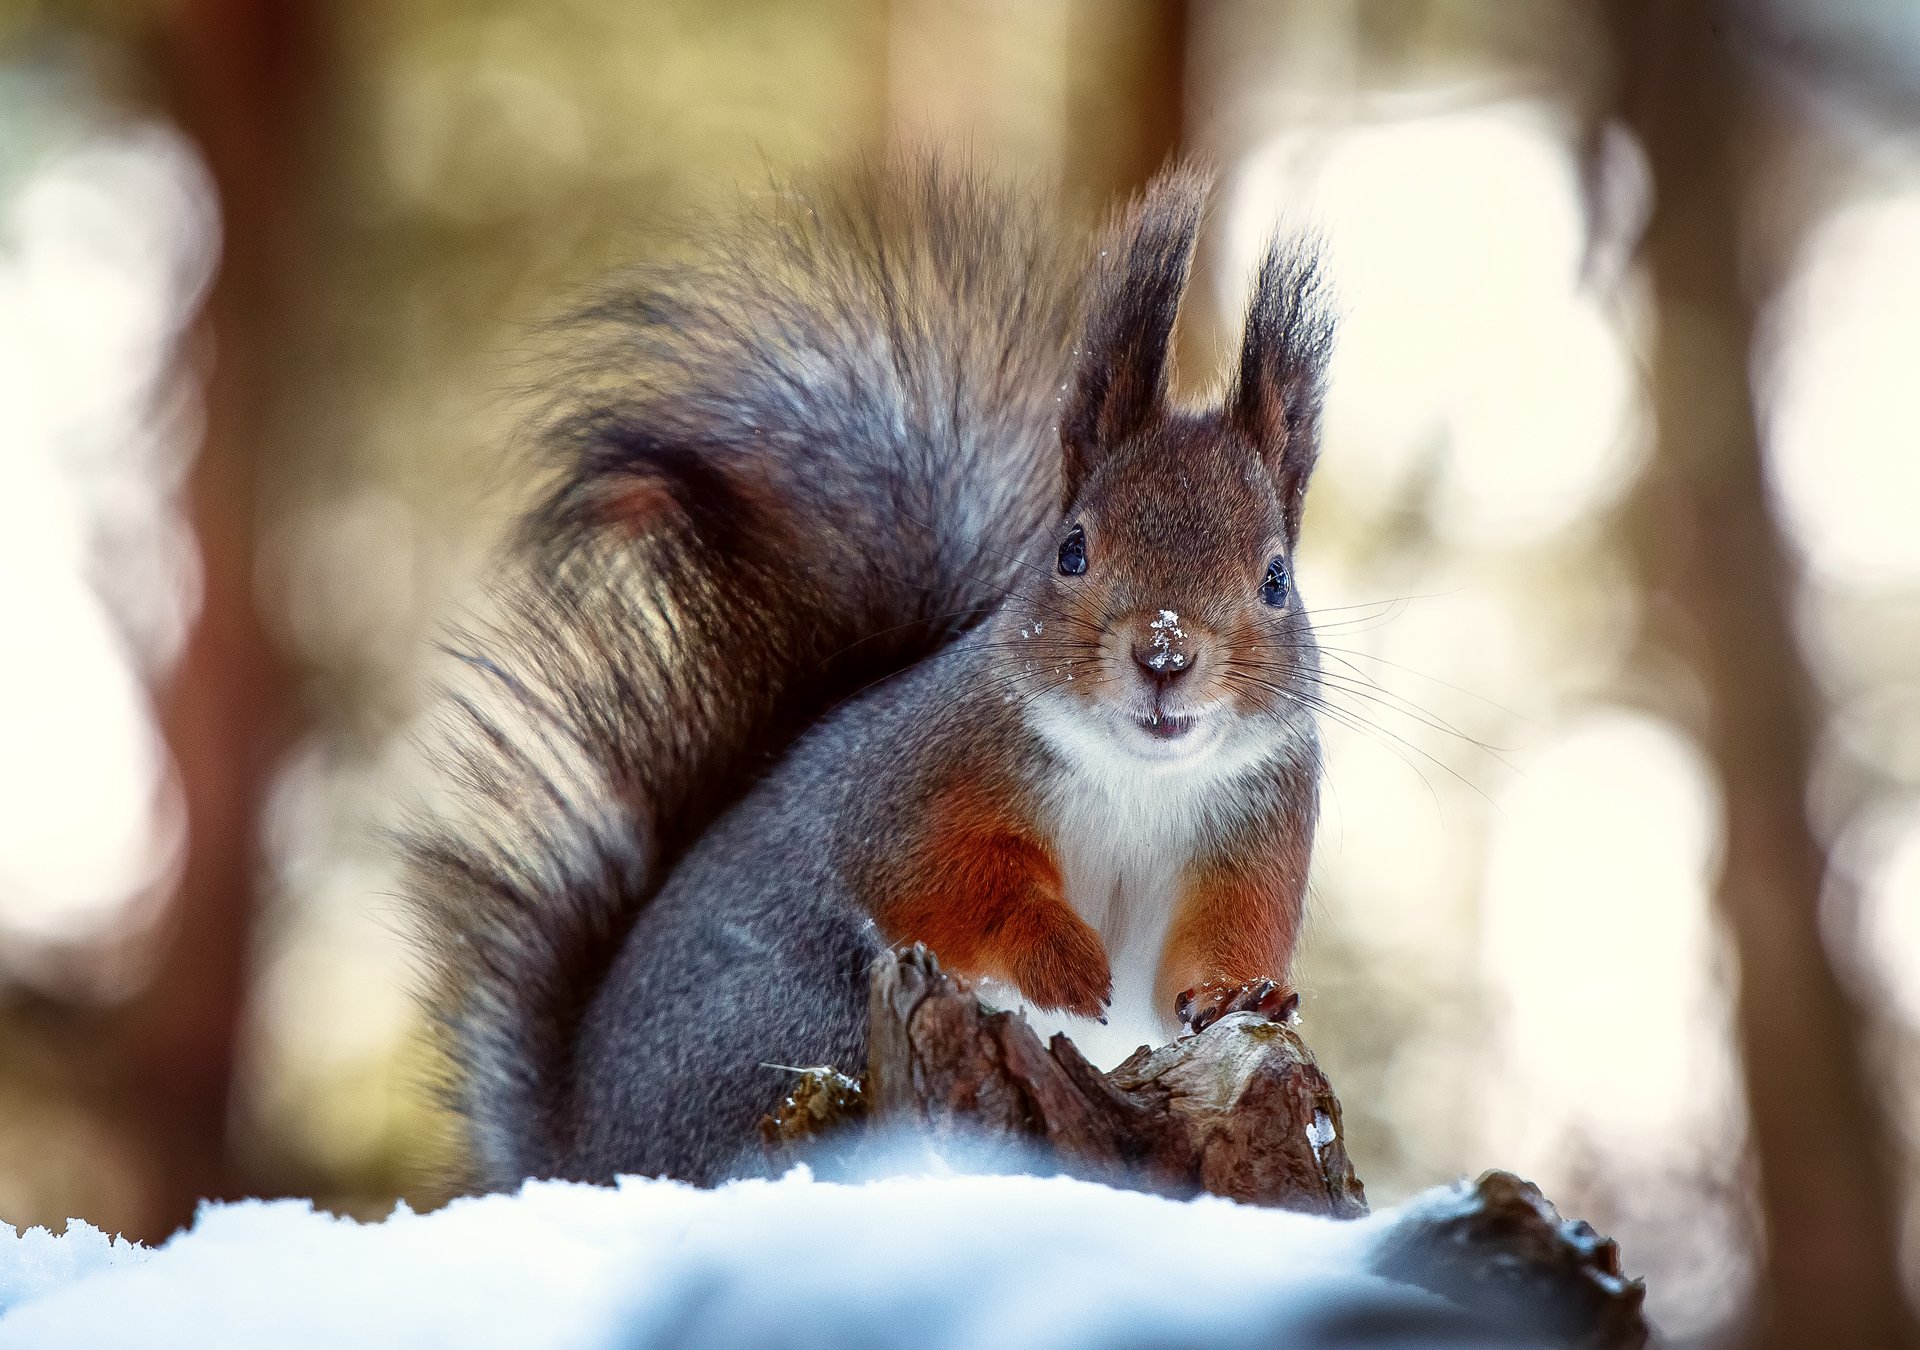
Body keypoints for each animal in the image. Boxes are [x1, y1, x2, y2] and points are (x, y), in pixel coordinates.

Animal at [406, 156, 1334, 1189]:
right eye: (1072, 551)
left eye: (1277, 578)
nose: (1165, 653)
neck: (1139, 777)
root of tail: (584, 1155)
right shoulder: (917, 782)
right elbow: (942, 884)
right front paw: (1059, 959)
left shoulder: (1258, 835)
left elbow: (1204, 952)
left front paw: (1242, 996)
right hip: (796, 1030)